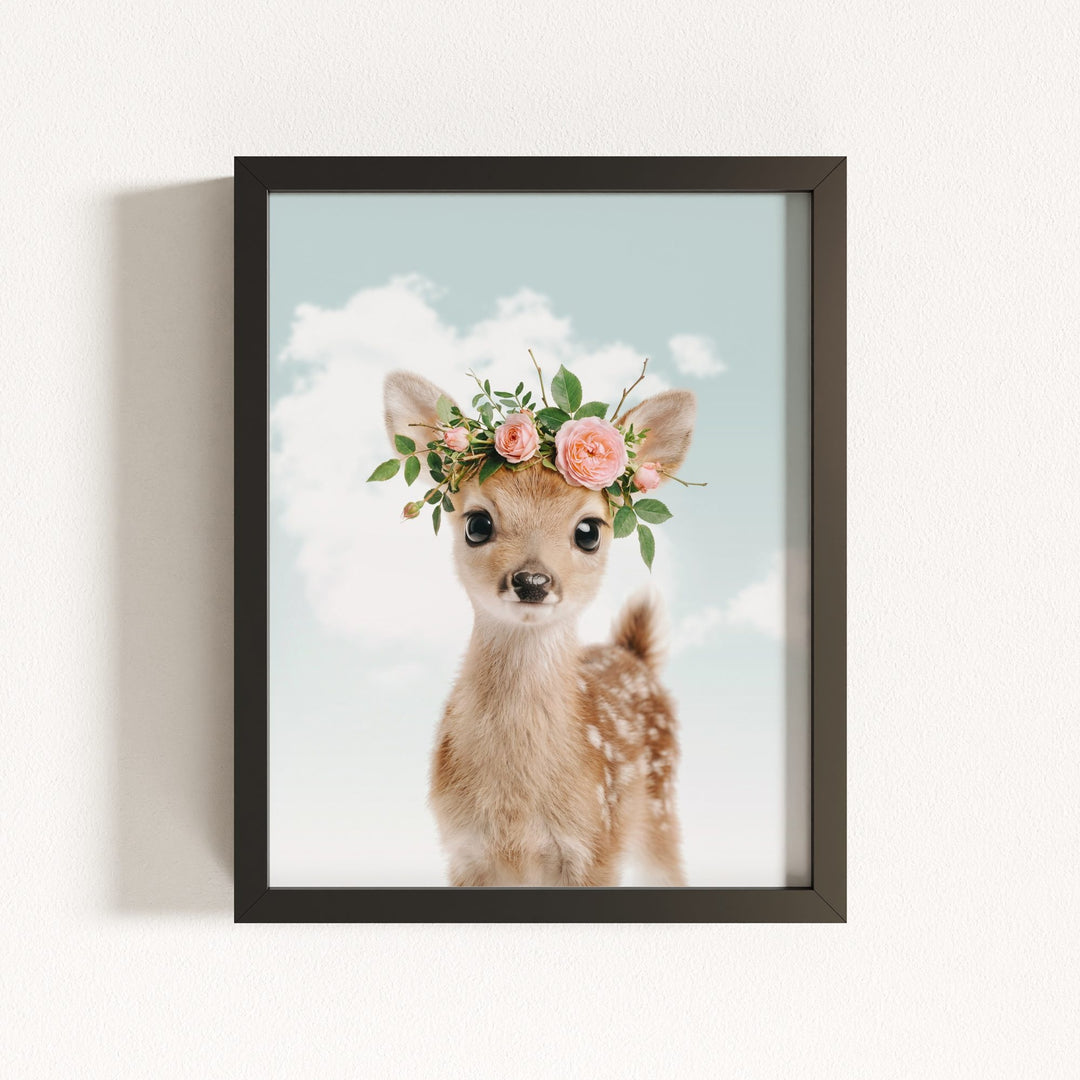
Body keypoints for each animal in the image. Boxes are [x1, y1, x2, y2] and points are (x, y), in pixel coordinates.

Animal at [383, 370, 697, 886]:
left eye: (589, 531)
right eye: (477, 523)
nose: (532, 581)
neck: (516, 811)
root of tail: (633, 654)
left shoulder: (596, 845)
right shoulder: (463, 850)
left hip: (660, 807)